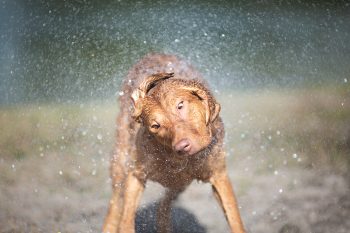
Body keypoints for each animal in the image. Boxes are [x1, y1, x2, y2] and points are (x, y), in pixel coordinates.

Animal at [102, 53, 245, 233]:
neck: (179, 161)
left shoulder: (218, 175)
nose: (182, 146)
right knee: (115, 207)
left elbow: (234, 217)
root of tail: (154, 53)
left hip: (180, 185)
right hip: (120, 167)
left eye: (180, 106)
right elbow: (126, 217)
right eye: (155, 126)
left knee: (163, 205)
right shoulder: (136, 174)